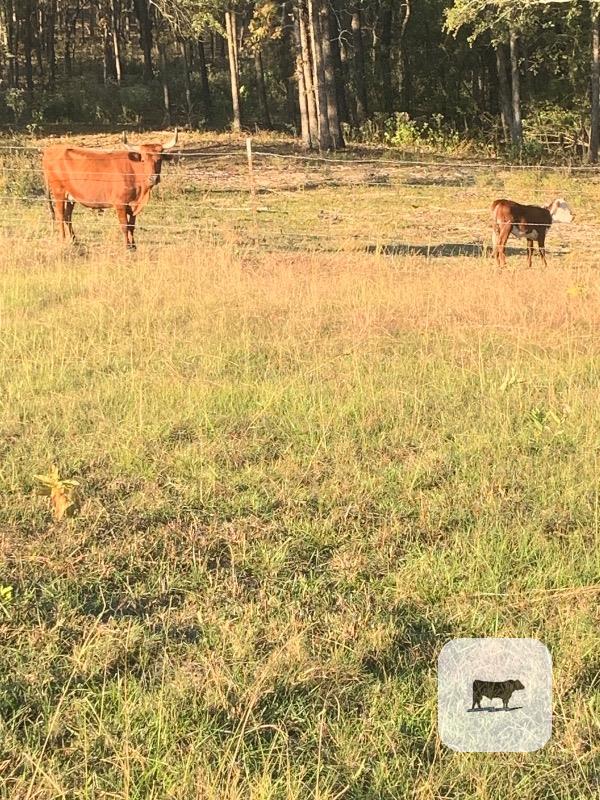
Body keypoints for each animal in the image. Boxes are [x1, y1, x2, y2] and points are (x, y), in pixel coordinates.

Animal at [42, 130, 179, 250]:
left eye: (159, 159)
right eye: (143, 160)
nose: (153, 178)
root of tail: (50, 150)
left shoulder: (133, 204)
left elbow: (131, 226)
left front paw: (134, 246)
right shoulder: (120, 204)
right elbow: (124, 226)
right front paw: (127, 247)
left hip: (71, 196)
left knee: (68, 216)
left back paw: (75, 241)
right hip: (59, 192)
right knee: (60, 216)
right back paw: (63, 240)